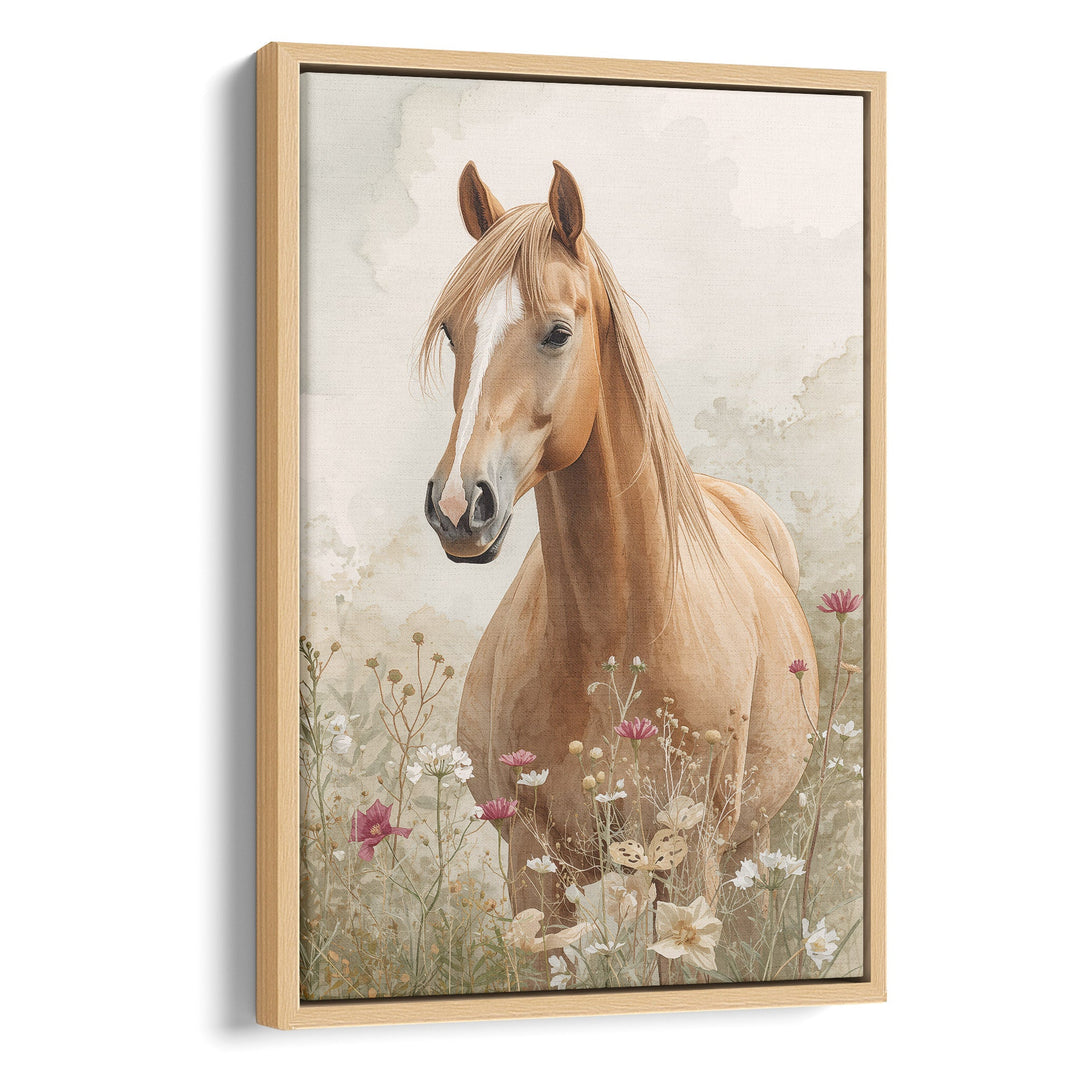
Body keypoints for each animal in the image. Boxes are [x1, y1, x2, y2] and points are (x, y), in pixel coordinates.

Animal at [420, 161, 819, 941]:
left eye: (557, 332)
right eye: (452, 332)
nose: (457, 507)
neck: (617, 631)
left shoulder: (689, 862)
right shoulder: (535, 866)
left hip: (750, 844)